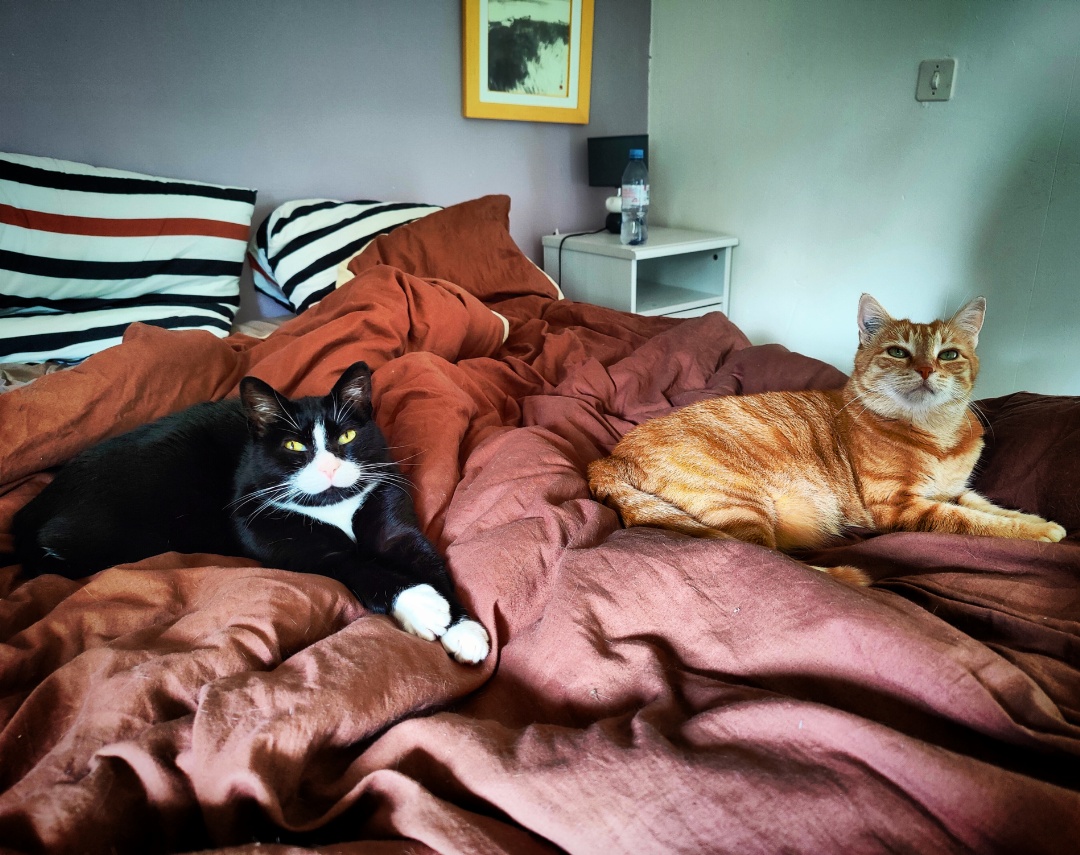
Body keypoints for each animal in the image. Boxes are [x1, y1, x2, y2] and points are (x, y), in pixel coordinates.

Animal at [13, 361, 490, 664]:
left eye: (348, 436)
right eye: (294, 445)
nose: (330, 467)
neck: (334, 508)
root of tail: (30, 510)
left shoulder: (388, 511)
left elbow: (425, 558)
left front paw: (464, 629)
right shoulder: (274, 533)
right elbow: (354, 564)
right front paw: (422, 604)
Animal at [587, 294, 1066, 585]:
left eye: (949, 354)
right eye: (898, 351)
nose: (927, 370)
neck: (938, 434)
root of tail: (609, 457)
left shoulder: (955, 491)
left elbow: (993, 508)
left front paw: (1042, 524)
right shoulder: (900, 506)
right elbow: (977, 524)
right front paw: (1039, 535)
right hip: (740, 506)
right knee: (767, 560)